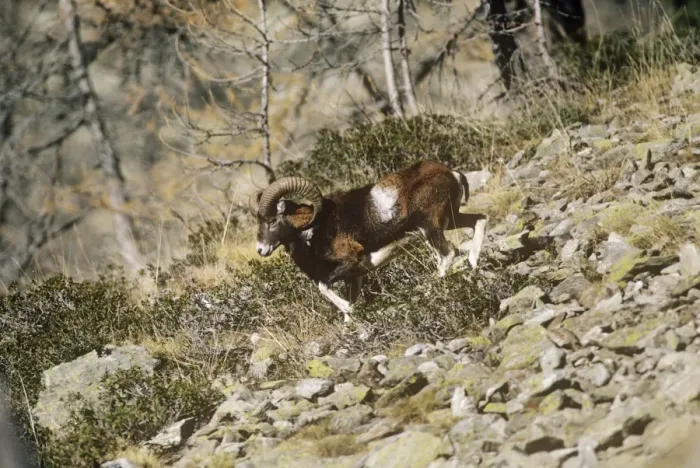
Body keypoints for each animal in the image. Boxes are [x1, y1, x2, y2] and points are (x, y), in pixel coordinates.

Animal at [250, 160, 488, 323]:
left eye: (272, 221)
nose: (261, 250)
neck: (313, 231)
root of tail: (451, 173)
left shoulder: (350, 262)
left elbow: (324, 287)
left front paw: (348, 310)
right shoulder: (355, 277)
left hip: (431, 227)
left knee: (447, 255)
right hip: (450, 220)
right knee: (480, 220)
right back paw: (473, 266)